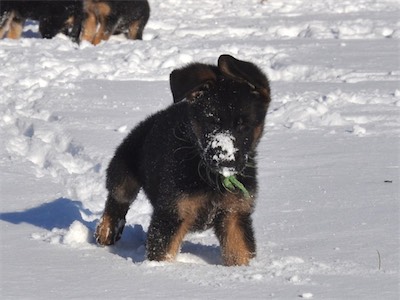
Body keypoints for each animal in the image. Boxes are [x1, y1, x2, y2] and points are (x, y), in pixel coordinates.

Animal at [95, 55, 272, 266]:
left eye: (244, 125)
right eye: (210, 122)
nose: (225, 160)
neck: (211, 179)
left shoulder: (235, 215)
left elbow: (240, 252)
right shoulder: (172, 214)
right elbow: (162, 254)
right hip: (124, 170)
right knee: (118, 198)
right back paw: (106, 231)